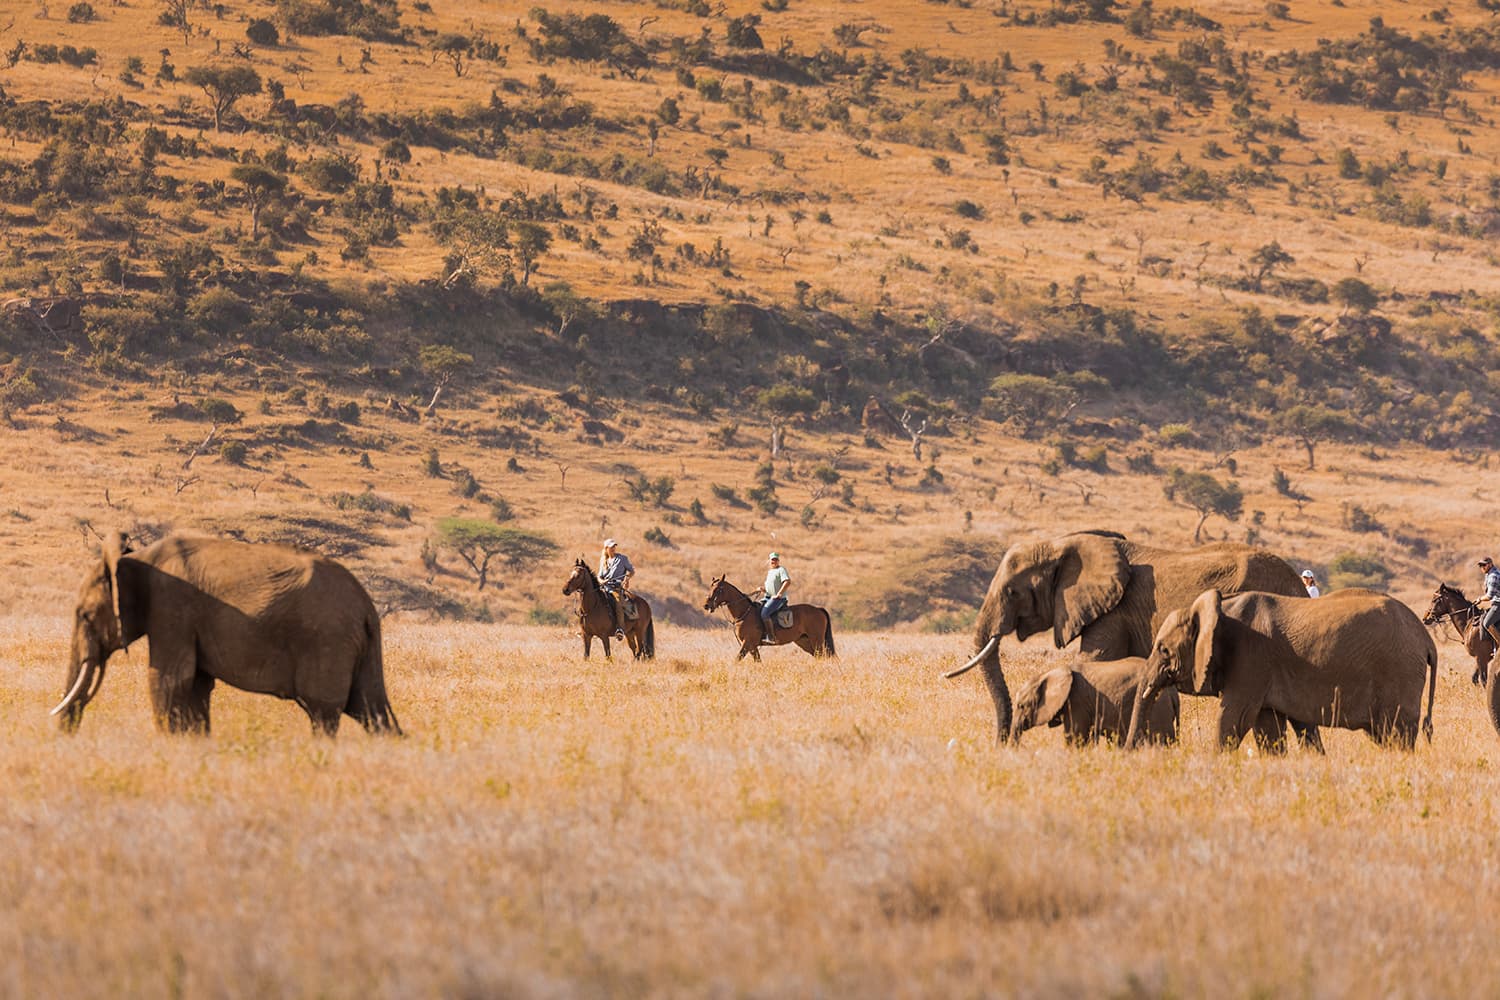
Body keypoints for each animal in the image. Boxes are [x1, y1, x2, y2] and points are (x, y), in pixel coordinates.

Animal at [53, 530, 402, 737]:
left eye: (84, 615)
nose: (67, 733)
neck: (137, 558)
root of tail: (367, 607)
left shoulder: (172, 609)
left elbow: (168, 681)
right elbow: (197, 686)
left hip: (327, 640)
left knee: (324, 712)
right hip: (357, 646)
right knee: (369, 709)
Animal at [1009, 657, 1179, 746]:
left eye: (1021, 706)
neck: (1048, 673)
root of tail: (1173, 692)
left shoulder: (1076, 701)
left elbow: (1075, 737)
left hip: (1158, 707)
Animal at [1126, 588, 1437, 751]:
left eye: (1163, 650)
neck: (1220, 609)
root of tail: (1426, 638)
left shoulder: (1250, 659)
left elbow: (1234, 718)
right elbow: (1267, 726)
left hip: (1399, 671)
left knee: (1396, 731)